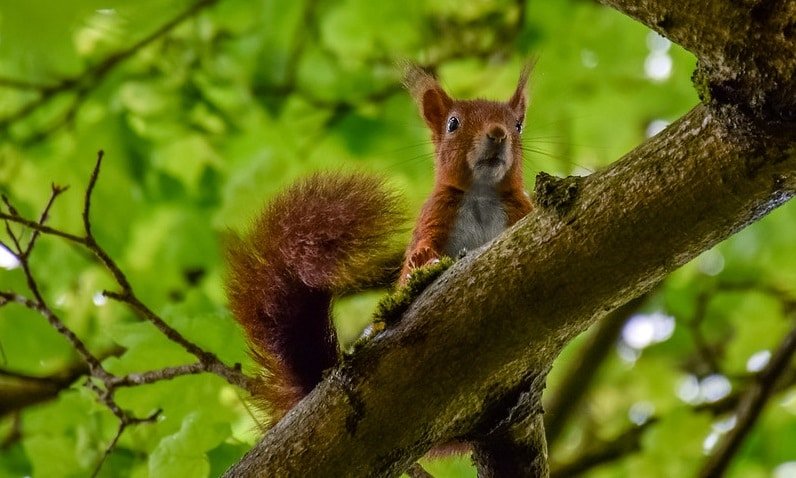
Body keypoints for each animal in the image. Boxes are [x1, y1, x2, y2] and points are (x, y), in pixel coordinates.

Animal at [227, 62, 532, 422]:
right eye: (453, 123)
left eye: (518, 125)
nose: (498, 133)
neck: (483, 194)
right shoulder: (434, 215)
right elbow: (419, 251)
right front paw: (423, 260)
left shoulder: (522, 211)